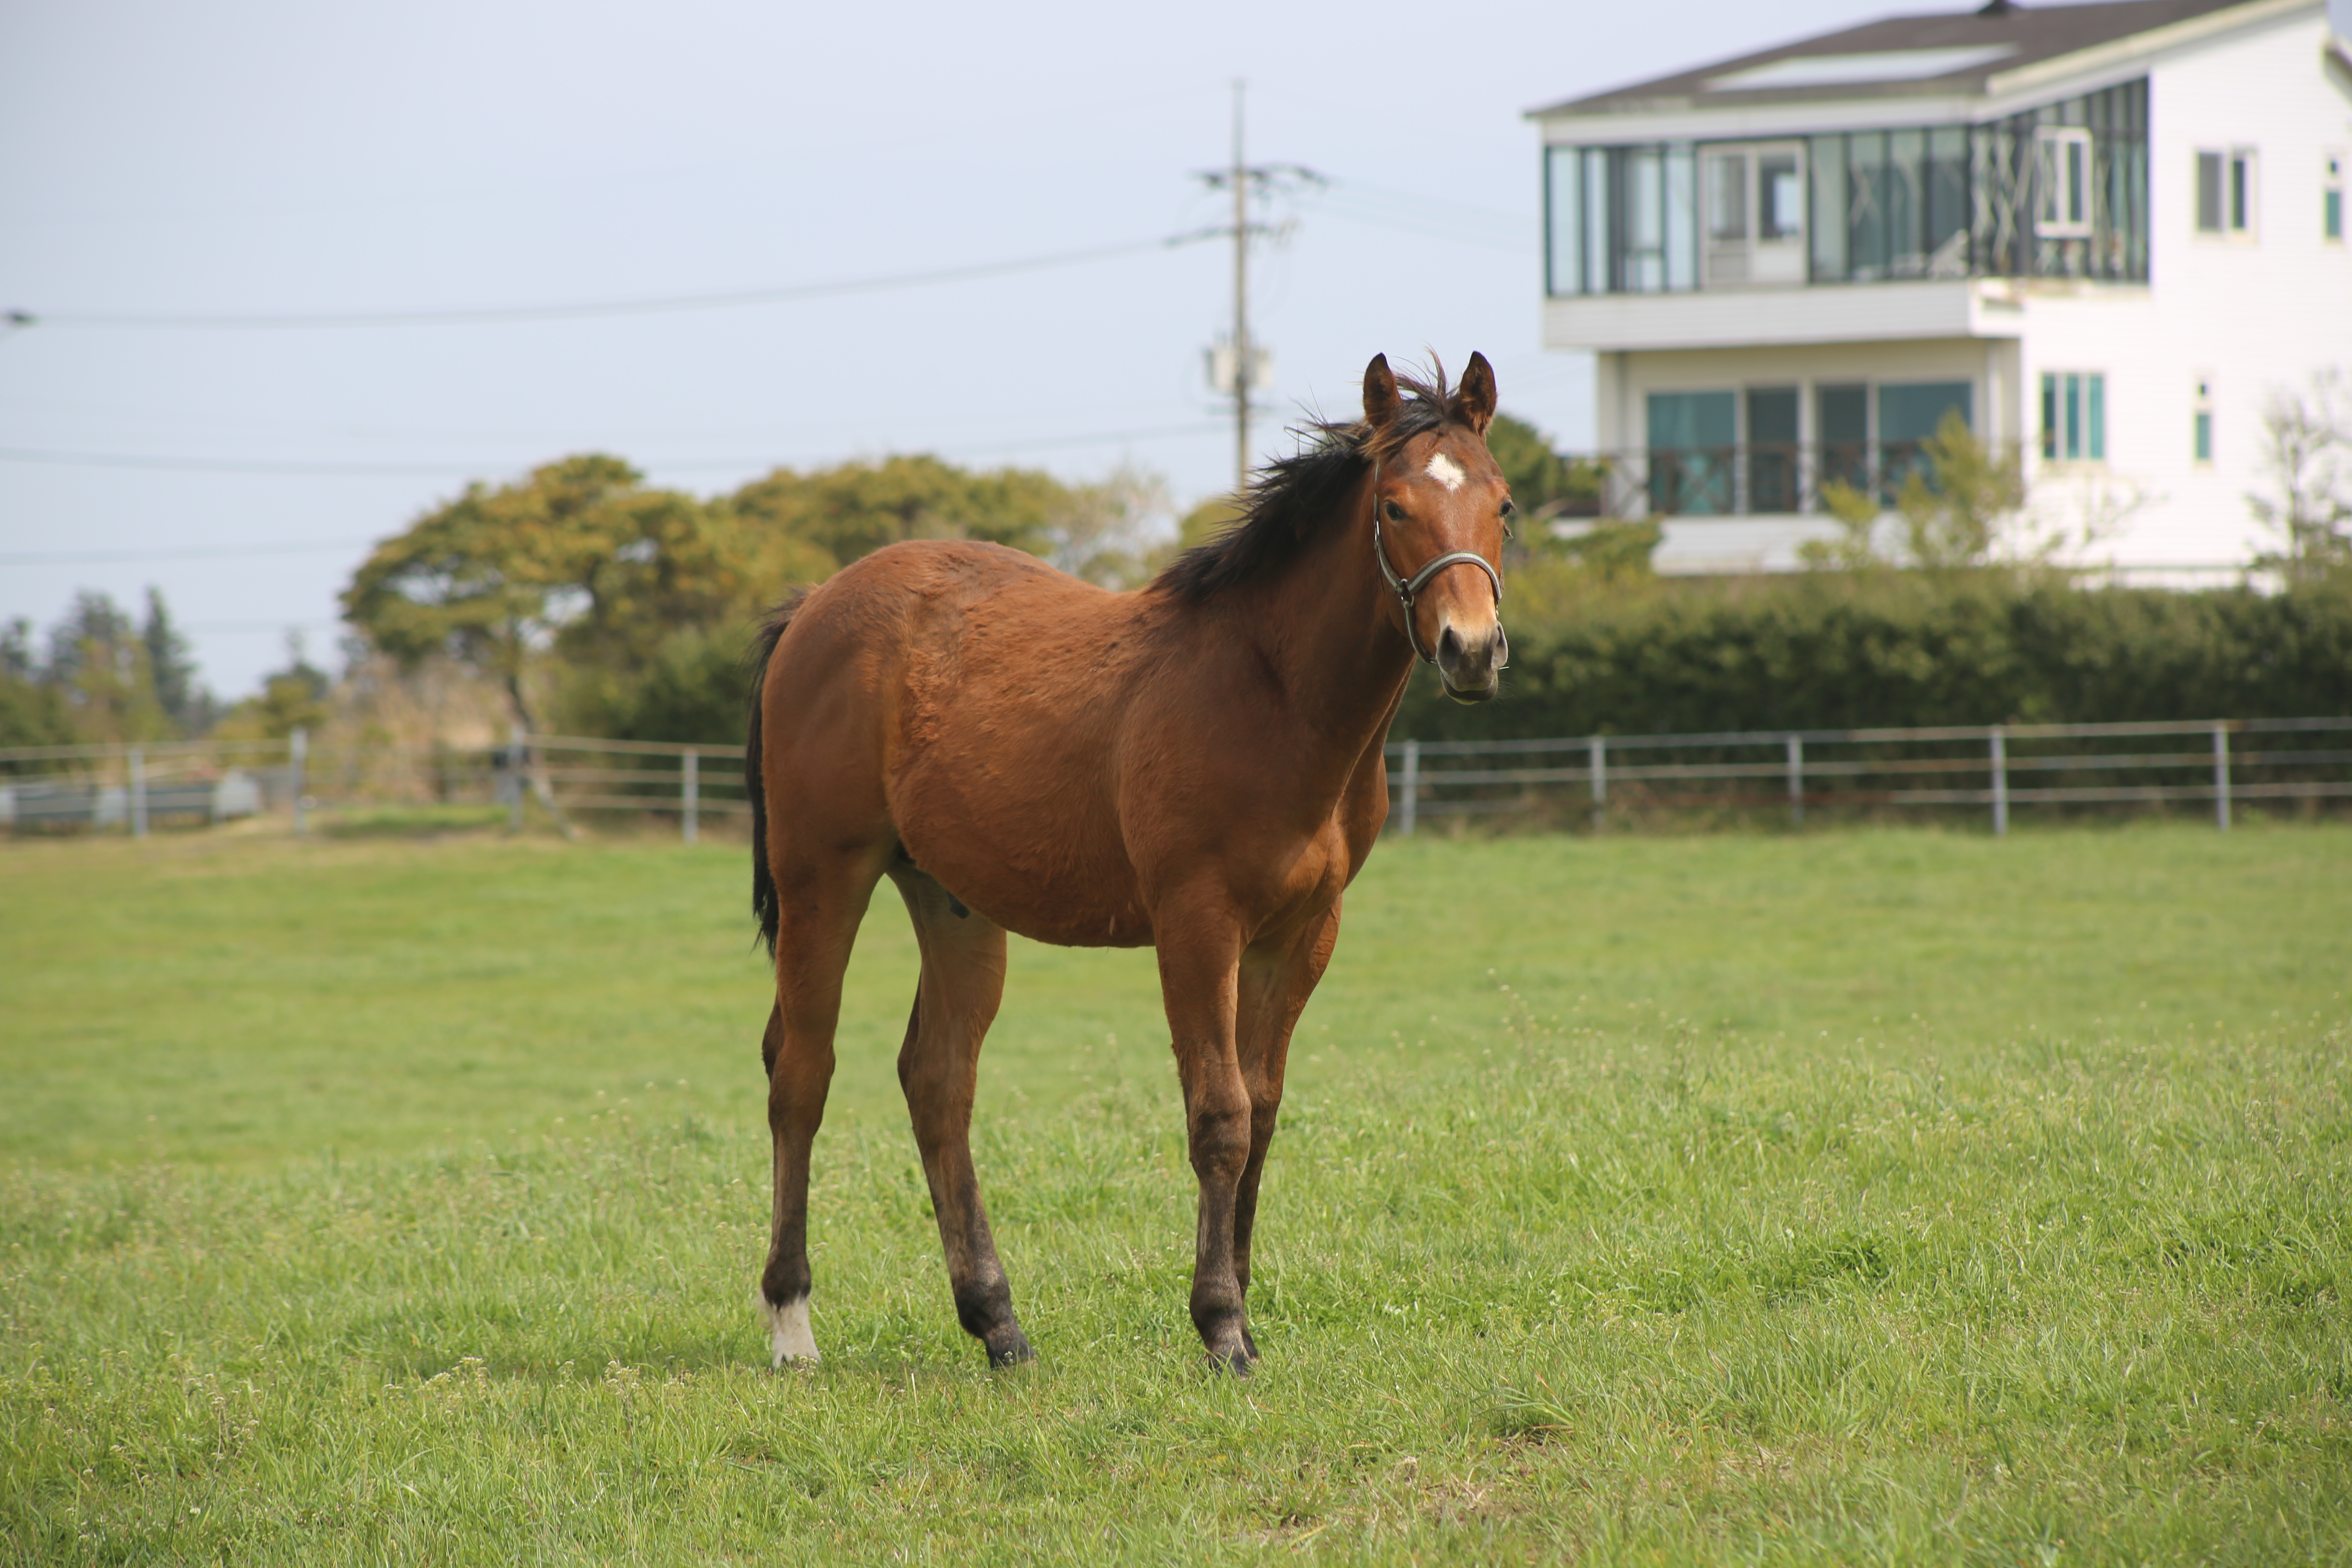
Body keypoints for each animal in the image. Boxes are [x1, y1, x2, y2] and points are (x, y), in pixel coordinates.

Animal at [748, 350, 1505, 1363]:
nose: (1472, 650)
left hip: (951, 900)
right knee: (802, 1070)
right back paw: (793, 1325)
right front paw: (1221, 1329)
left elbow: (1264, 1110)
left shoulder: (1303, 934)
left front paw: (1245, 1309)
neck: (1271, 696)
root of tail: (812, 608)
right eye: (1394, 506)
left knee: (937, 1080)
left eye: (1503, 504)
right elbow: (1219, 1114)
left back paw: (999, 1326)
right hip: (822, 877)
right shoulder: (1197, 922)